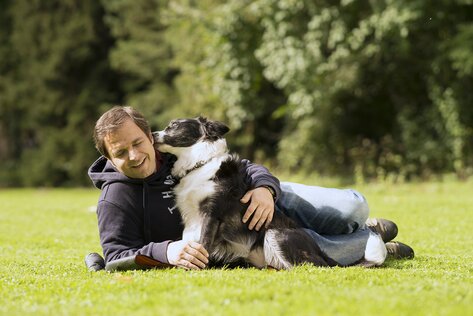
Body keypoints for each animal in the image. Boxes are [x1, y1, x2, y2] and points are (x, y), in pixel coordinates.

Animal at [153, 116, 334, 270]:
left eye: (174, 125)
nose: (153, 134)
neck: (199, 164)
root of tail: (320, 251)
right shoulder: (190, 218)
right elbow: (190, 244)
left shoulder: (212, 213)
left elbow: (203, 244)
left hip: (275, 234)